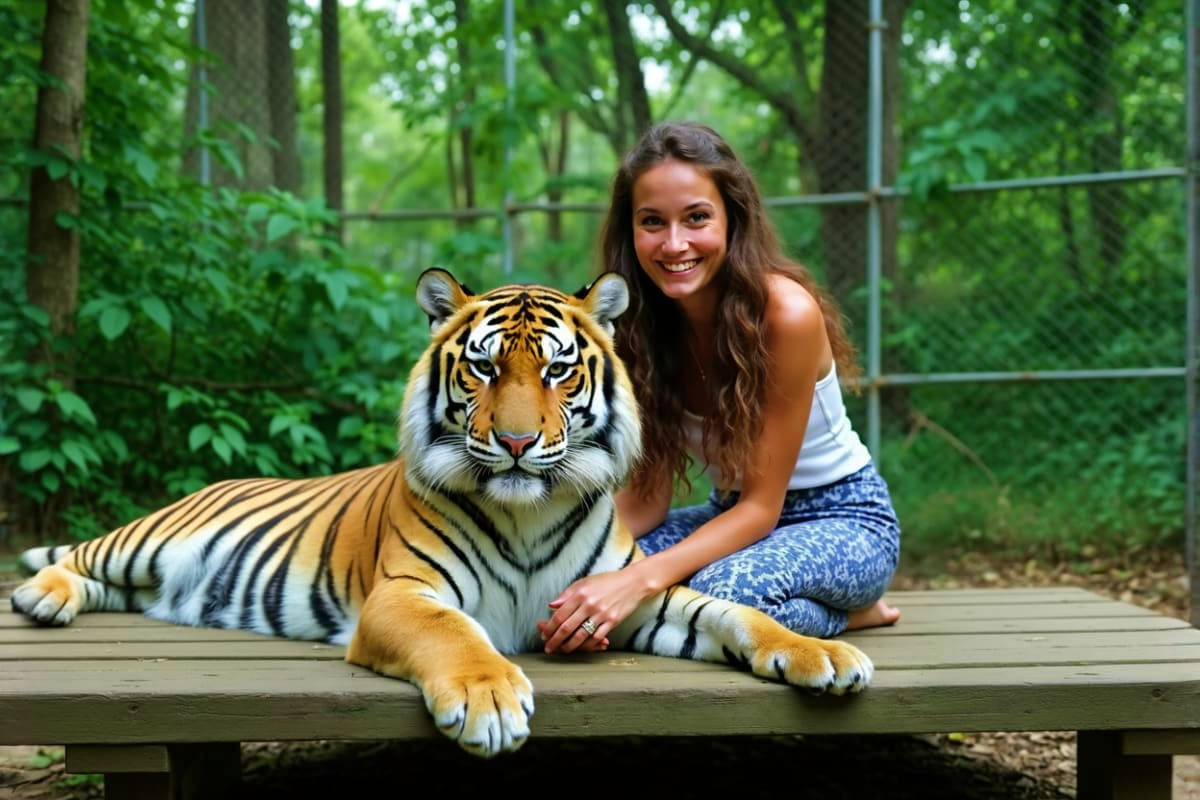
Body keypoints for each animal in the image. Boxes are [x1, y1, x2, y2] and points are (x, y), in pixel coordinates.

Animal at [11, 268, 874, 758]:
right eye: (485, 368)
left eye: (558, 371)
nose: (519, 442)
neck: (529, 512)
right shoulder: (404, 594)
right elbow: (454, 635)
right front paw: (489, 701)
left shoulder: (629, 598)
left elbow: (737, 615)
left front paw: (821, 655)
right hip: (150, 538)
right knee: (79, 555)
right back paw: (39, 598)